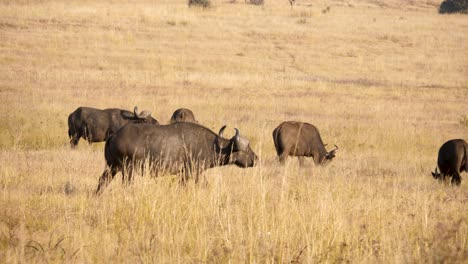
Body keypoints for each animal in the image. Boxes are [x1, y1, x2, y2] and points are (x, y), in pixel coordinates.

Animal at [93, 122, 258, 195]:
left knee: (102, 181)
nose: (255, 159)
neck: (211, 145)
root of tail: (113, 135)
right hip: (128, 170)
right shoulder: (192, 172)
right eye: (246, 148)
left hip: (112, 168)